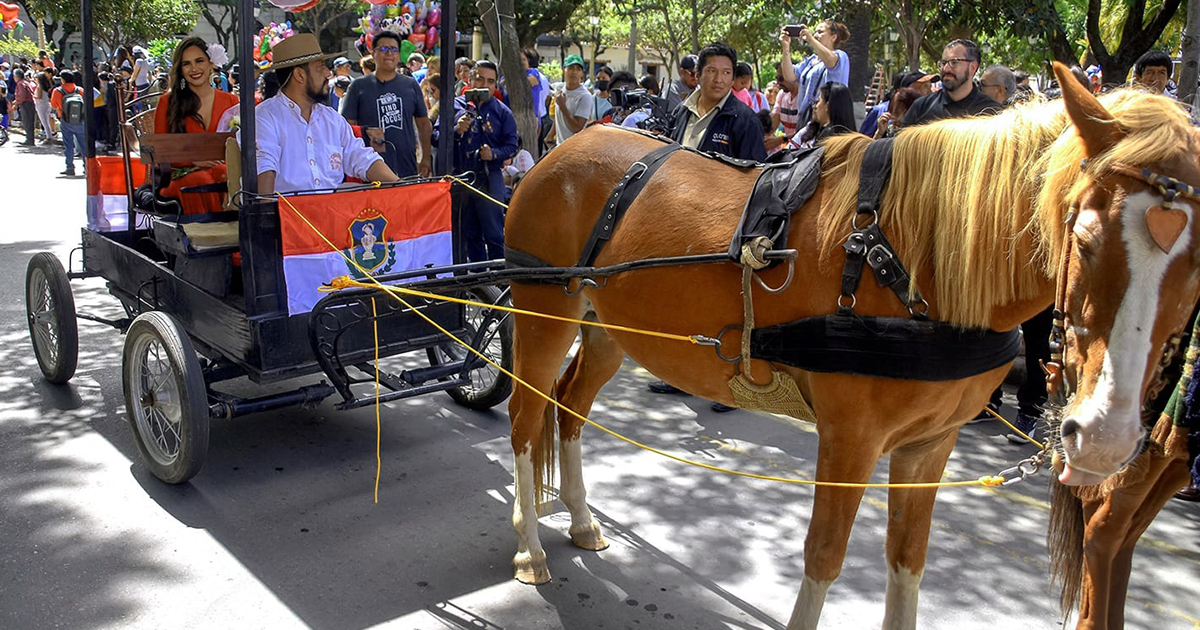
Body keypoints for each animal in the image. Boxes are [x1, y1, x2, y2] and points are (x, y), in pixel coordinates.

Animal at [496, 65, 1200, 628]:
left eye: (1197, 266)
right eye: (1084, 238)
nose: (1106, 438)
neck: (908, 256)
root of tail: (567, 143)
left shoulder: (929, 444)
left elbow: (908, 561)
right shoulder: (851, 438)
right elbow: (826, 555)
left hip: (609, 329)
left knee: (570, 407)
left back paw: (581, 521)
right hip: (543, 311)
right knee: (527, 417)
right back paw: (529, 546)